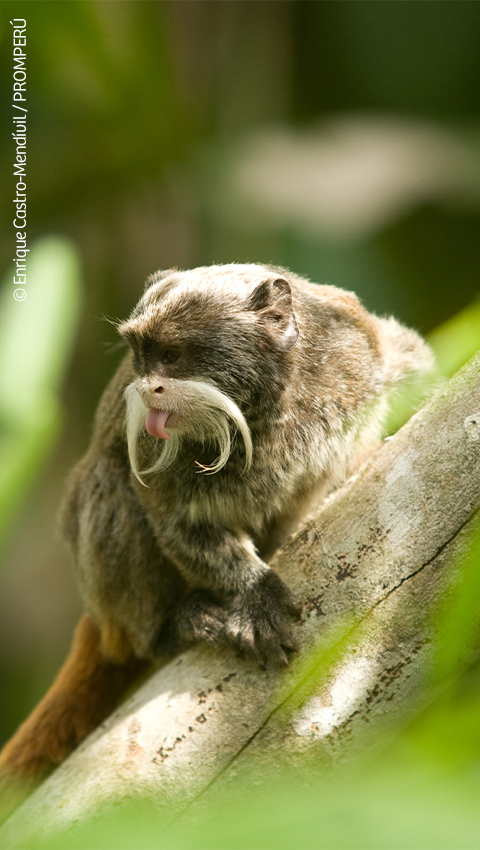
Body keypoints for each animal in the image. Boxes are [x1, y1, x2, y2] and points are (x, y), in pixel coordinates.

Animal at [0, 263, 434, 789]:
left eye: (171, 356)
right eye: (141, 358)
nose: (147, 389)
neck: (268, 409)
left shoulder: (359, 347)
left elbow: (414, 364)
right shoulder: (150, 441)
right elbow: (175, 524)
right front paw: (255, 591)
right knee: (110, 489)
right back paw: (173, 626)